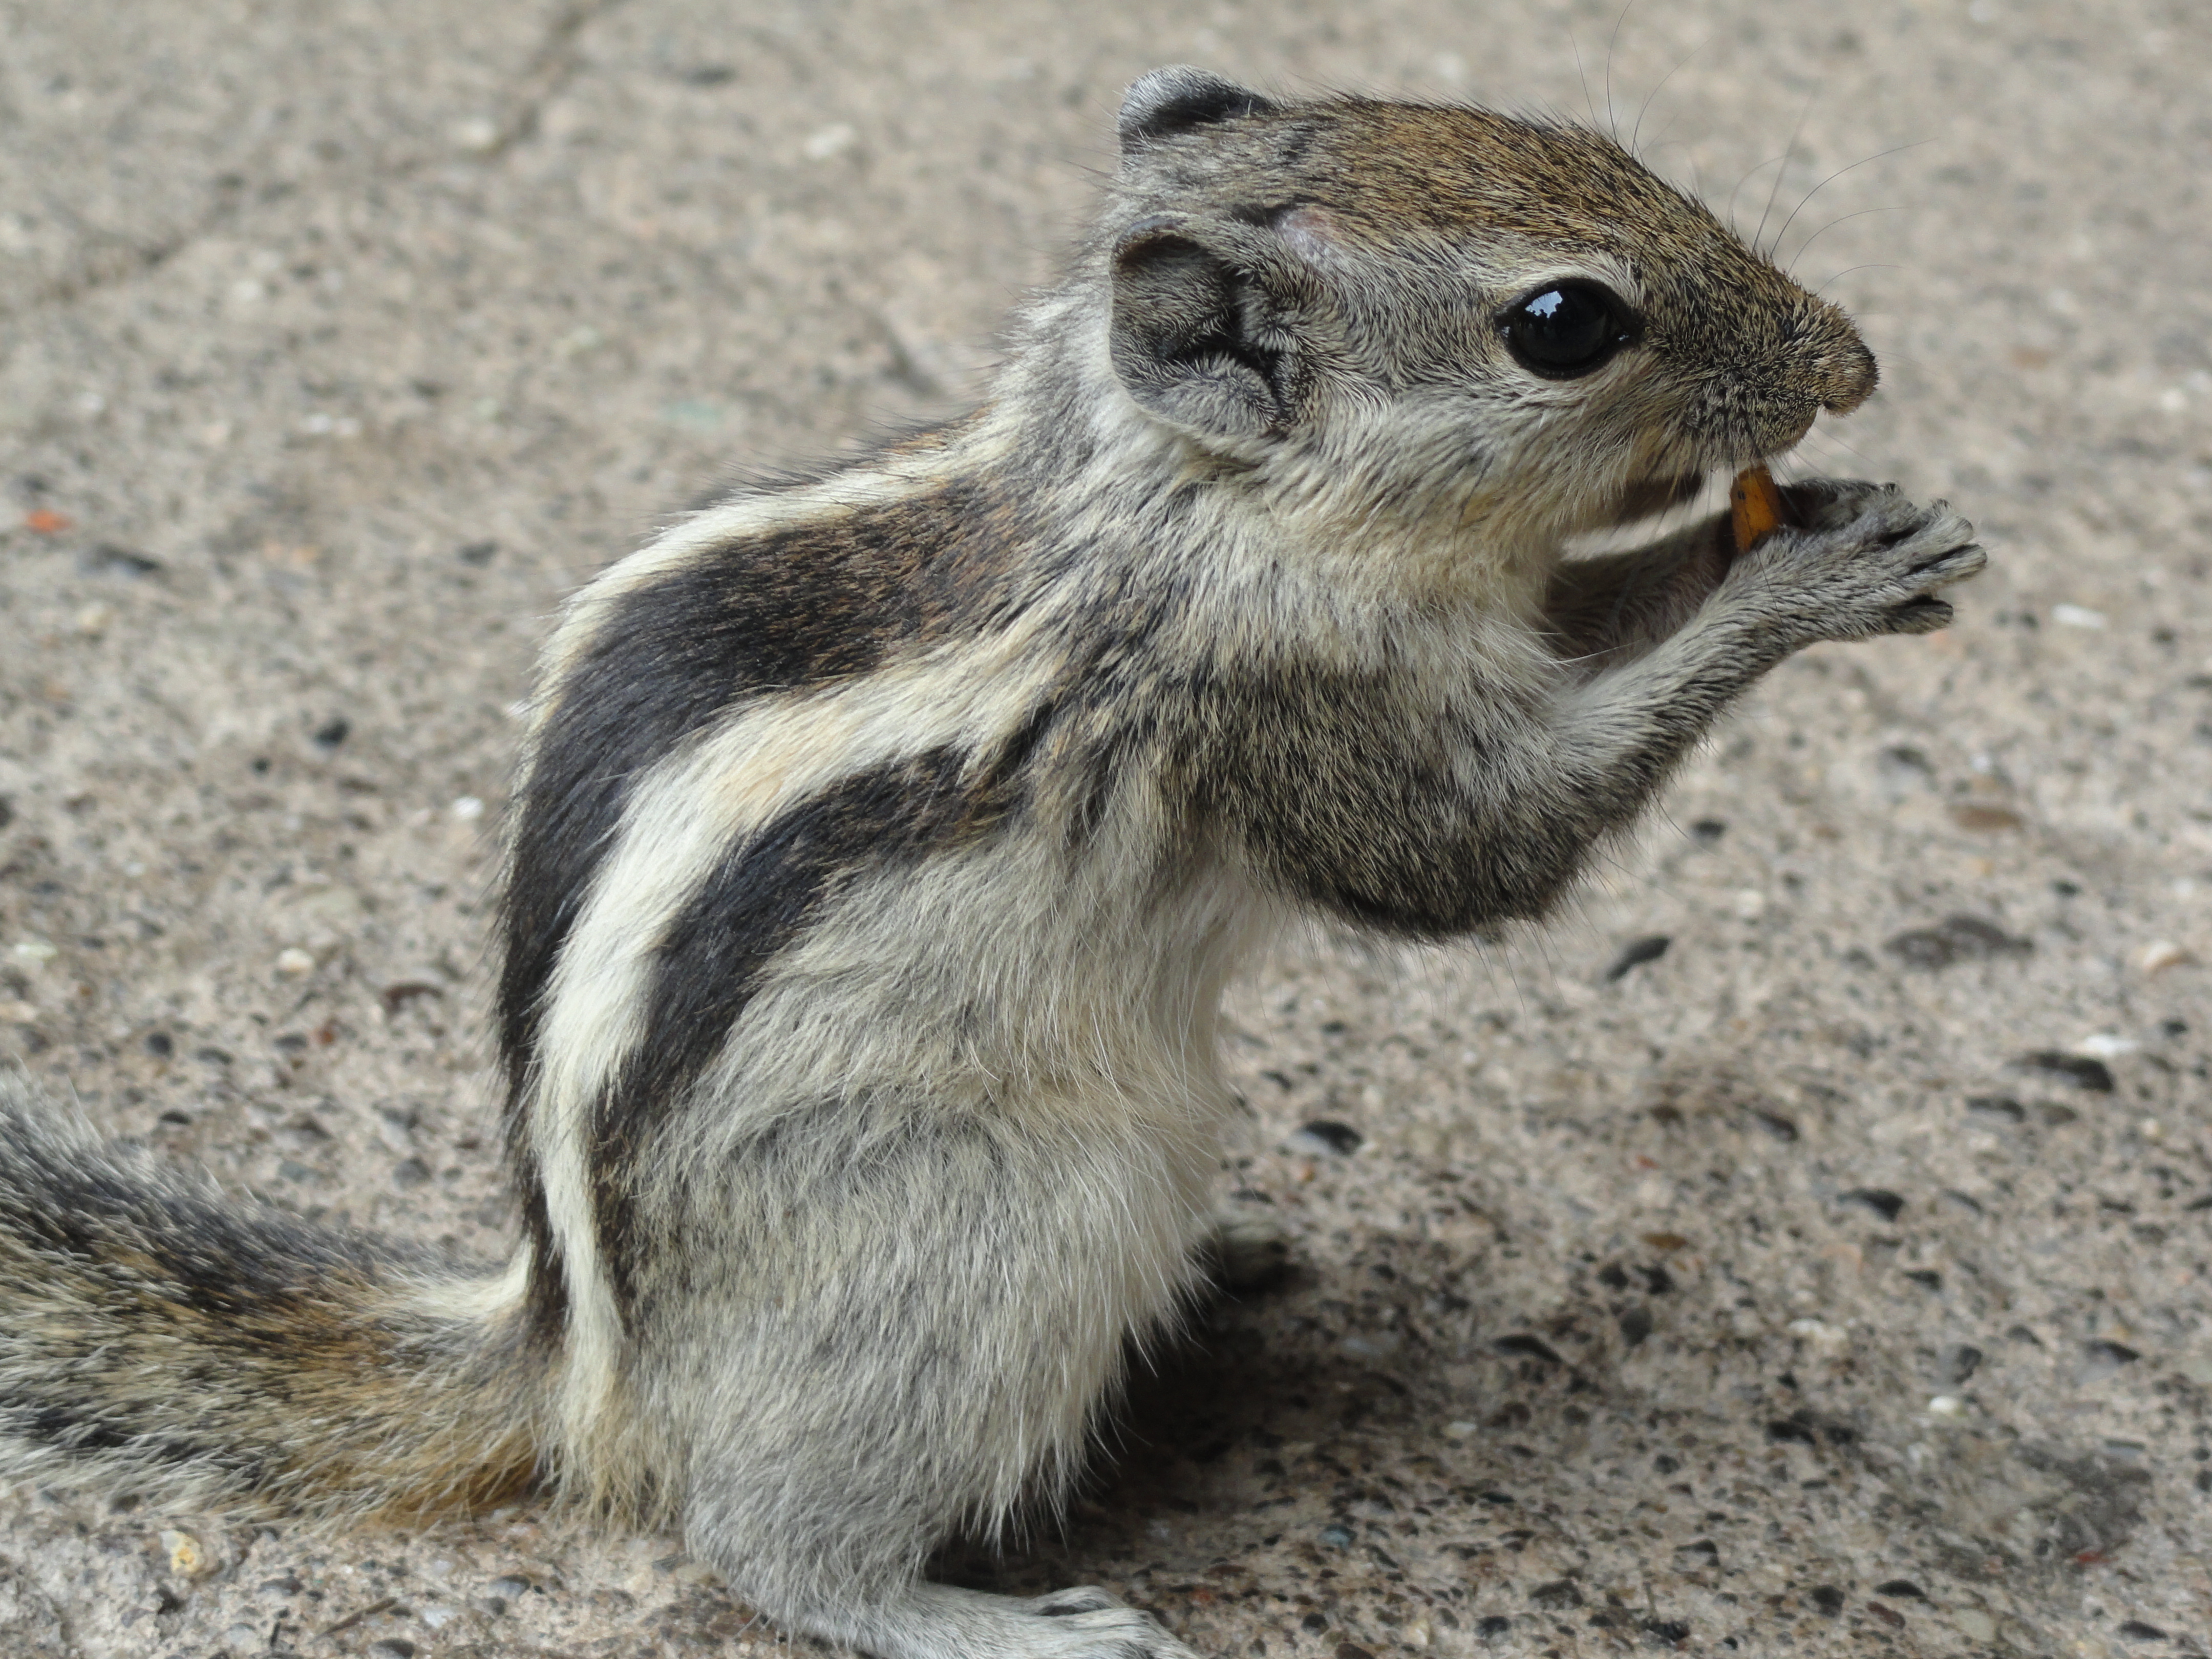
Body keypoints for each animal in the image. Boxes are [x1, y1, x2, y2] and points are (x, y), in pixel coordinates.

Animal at [0, 68, 1980, 1659]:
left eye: (1594, 142)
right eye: (1564, 324)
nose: (1854, 365)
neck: (1165, 490)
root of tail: (581, 1368)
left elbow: (1599, 629)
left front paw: (1807, 528)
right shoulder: (1289, 710)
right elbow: (1481, 857)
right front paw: (1809, 585)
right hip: (983, 1234)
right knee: (762, 1542)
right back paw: (986, 1617)